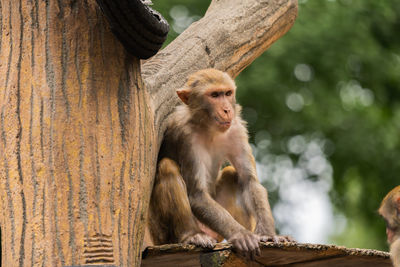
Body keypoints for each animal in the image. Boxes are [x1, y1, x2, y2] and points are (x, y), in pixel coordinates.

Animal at [148, 68, 290, 260]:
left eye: (227, 93)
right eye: (214, 95)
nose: (227, 110)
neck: (209, 128)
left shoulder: (236, 129)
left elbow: (249, 181)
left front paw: (267, 234)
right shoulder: (186, 136)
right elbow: (197, 195)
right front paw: (241, 234)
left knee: (232, 173)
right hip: (160, 233)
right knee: (167, 167)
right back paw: (192, 235)